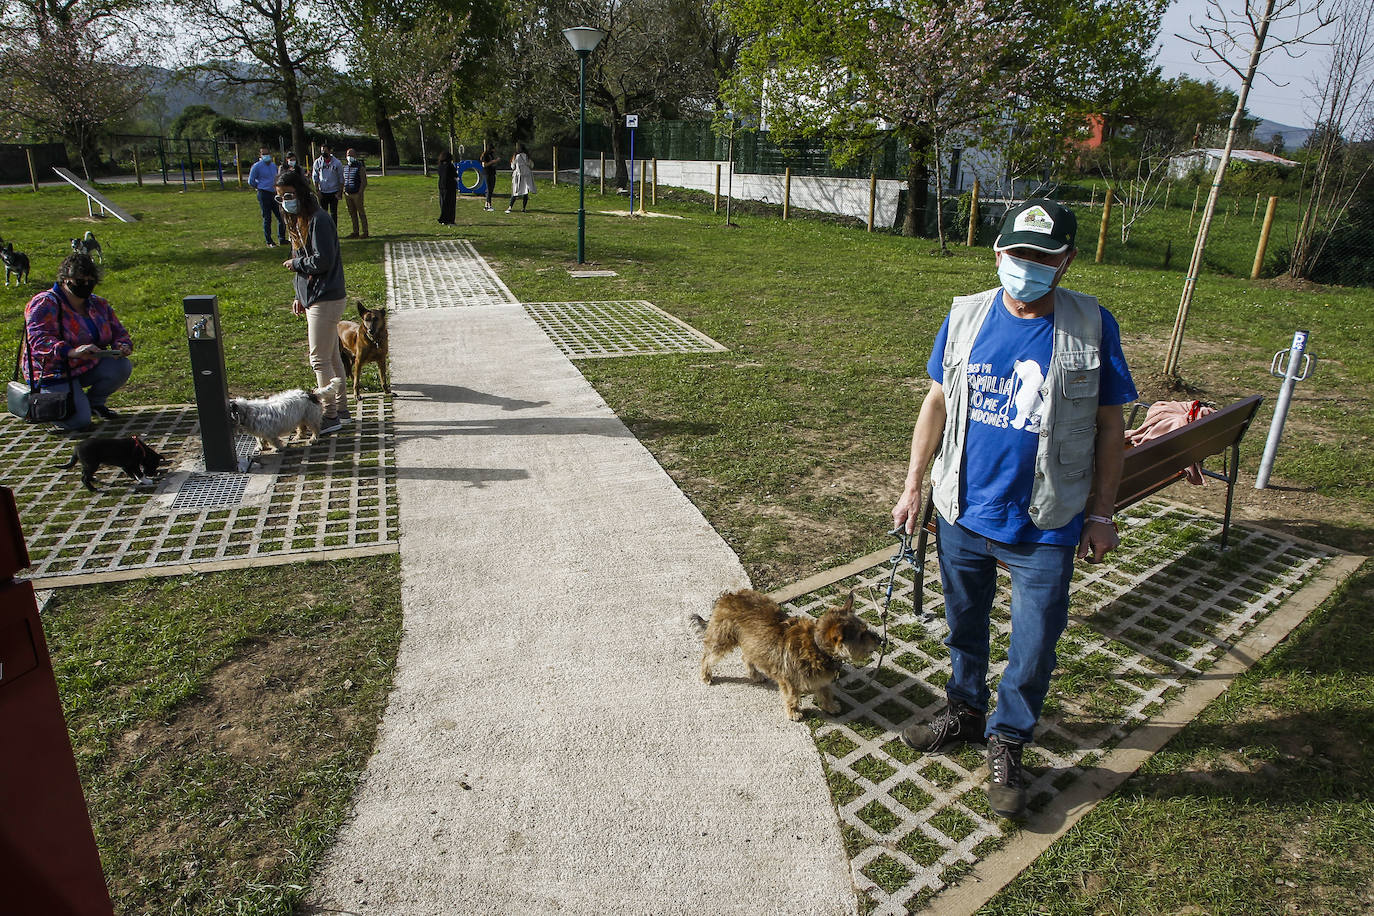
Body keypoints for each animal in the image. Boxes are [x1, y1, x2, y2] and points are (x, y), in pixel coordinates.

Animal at [692, 587, 873, 725]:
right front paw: (793, 712)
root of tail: (728, 596)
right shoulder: (789, 680)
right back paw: (706, 675)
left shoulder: (822, 680)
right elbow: (792, 698)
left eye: (866, 629)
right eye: (861, 635)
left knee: (746, 658)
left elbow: (826, 693)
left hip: (753, 644)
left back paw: (755, 675)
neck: (816, 646)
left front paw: (830, 707)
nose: (878, 639)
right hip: (722, 640)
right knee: (707, 657)